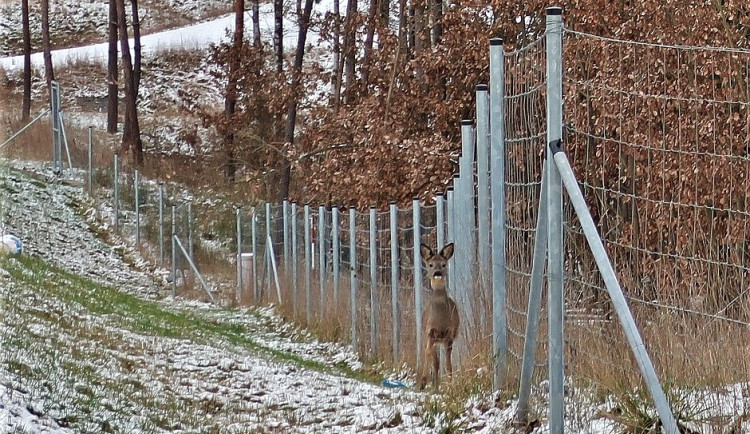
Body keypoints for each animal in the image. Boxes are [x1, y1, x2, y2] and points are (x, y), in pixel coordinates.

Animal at [420, 244, 462, 390]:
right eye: (431, 264)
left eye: (443, 264)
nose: (437, 273)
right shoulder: (430, 332)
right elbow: (428, 354)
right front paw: (423, 382)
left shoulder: (450, 335)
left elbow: (448, 364)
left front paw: (450, 384)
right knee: (435, 360)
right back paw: (434, 385)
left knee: (439, 362)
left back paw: (437, 386)